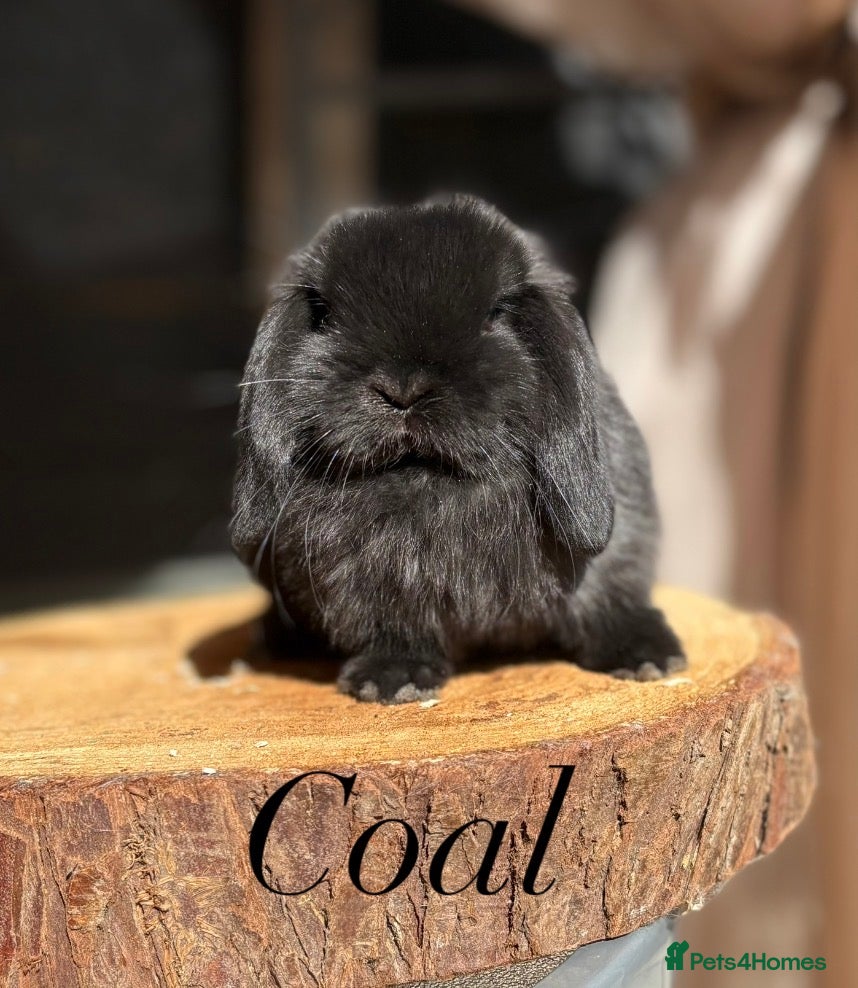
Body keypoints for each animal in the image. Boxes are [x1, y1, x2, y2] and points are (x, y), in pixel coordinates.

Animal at [230, 195, 686, 703]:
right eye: (324, 315)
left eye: (497, 313)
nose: (403, 389)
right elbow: (394, 629)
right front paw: (392, 681)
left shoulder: (617, 549)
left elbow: (609, 597)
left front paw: (648, 656)